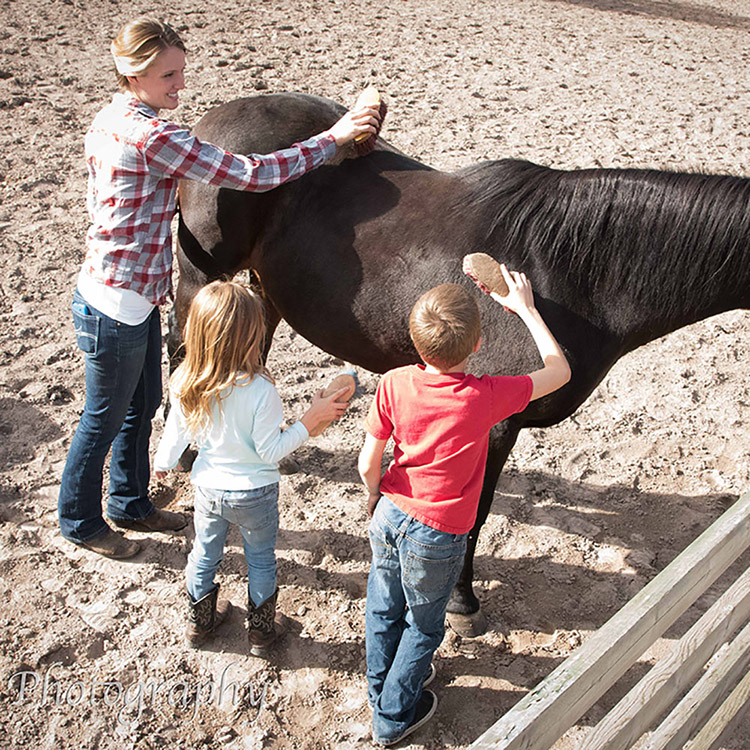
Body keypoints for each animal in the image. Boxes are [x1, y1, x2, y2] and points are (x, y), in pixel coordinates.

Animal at [170, 92, 750, 636]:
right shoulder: (493, 426)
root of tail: (209, 126)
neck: (571, 271)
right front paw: (463, 602)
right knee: (184, 358)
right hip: (203, 280)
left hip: (264, 289)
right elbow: (473, 512)